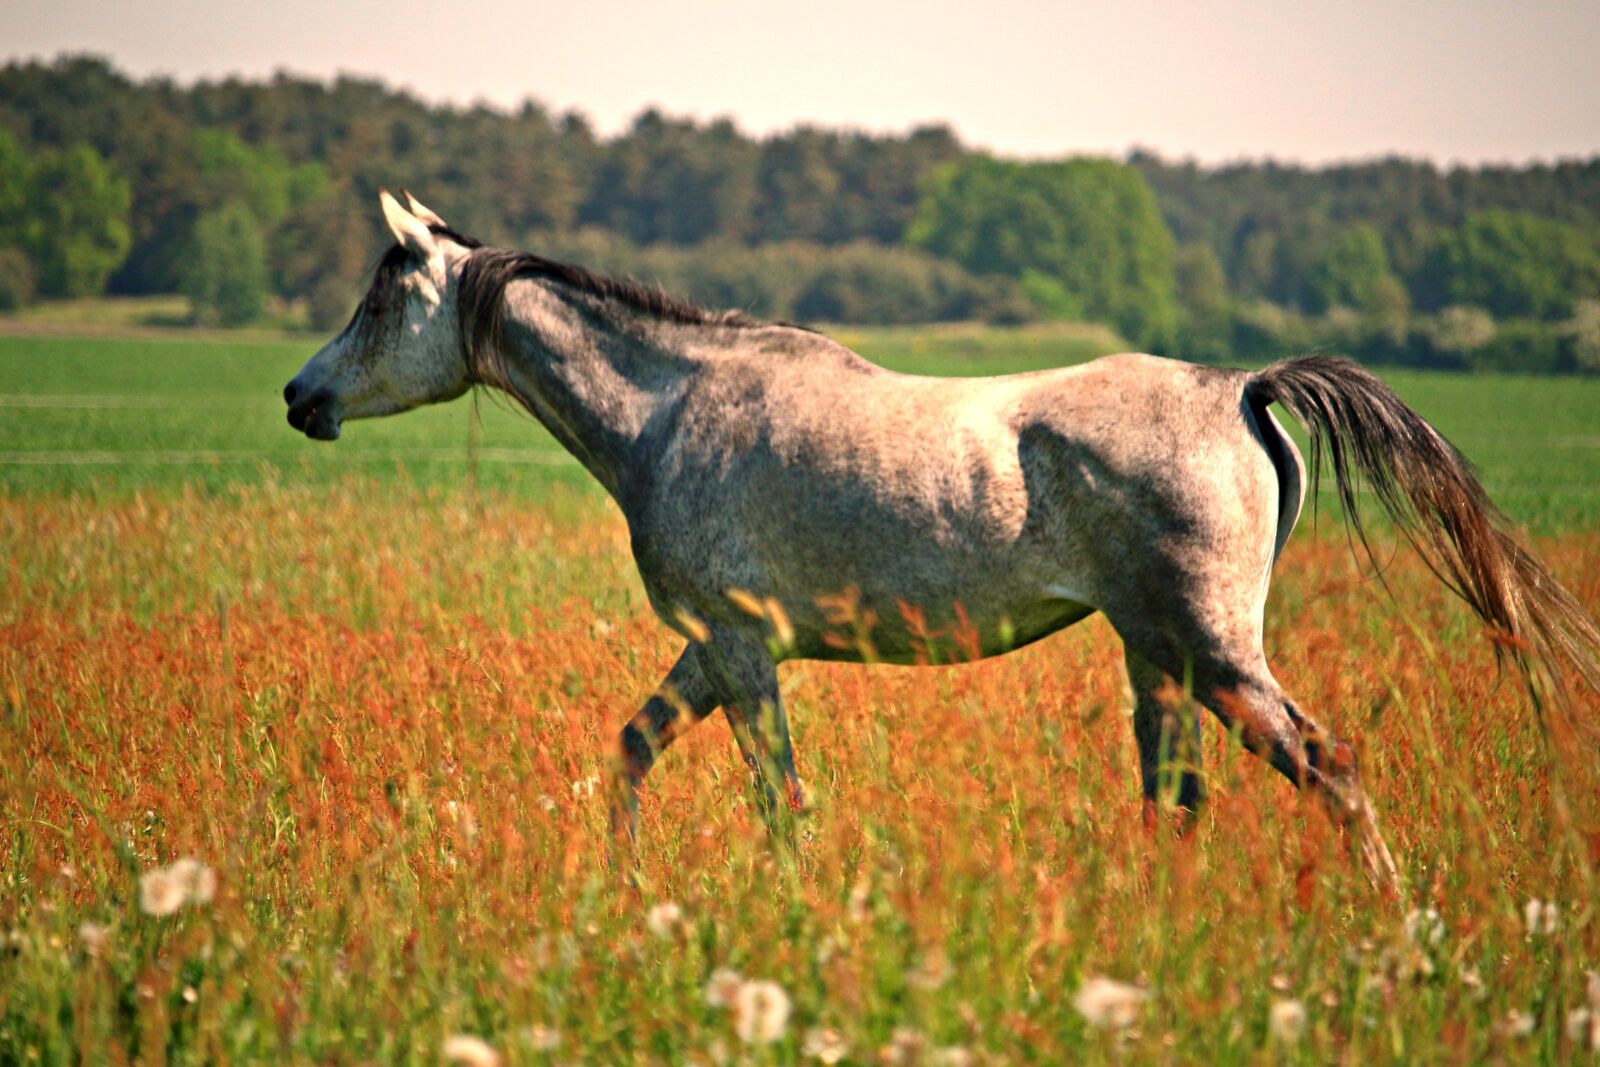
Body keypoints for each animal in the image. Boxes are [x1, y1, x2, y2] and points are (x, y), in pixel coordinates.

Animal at [284, 191, 1600, 888]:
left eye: (381, 294)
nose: (303, 396)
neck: (671, 411)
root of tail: (1241, 386)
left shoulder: (742, 654)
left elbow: (779, 800)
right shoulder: (709, 653)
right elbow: (630, 753)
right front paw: (623, 890)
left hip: (1215, 653)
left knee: (1327, 768)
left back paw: (1396, 928)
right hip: (1158, 656)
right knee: (1176, 797)